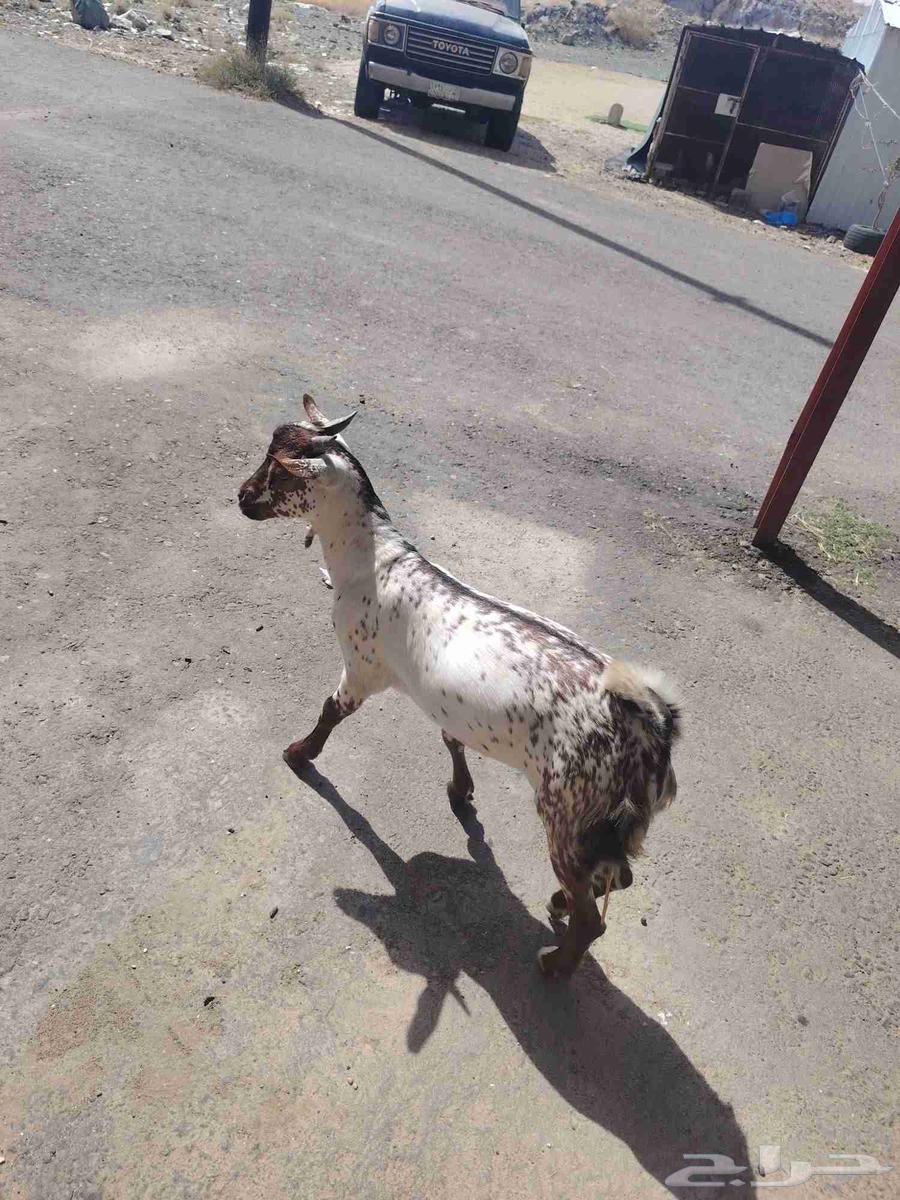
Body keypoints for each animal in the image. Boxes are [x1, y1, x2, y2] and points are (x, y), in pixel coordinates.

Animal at [238, 396, 680, 976]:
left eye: (278, 470)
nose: (241, 498)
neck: (374, 559)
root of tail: (652, 730)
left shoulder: (362, 666)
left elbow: (331, 710)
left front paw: (298, 754)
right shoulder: (444, 700)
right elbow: (451, 739)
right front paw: (460, 791)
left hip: (569, 807)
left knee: (594, 916)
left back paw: (553, 962)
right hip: (607, 823)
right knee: (616, 875)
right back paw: (558, 904)